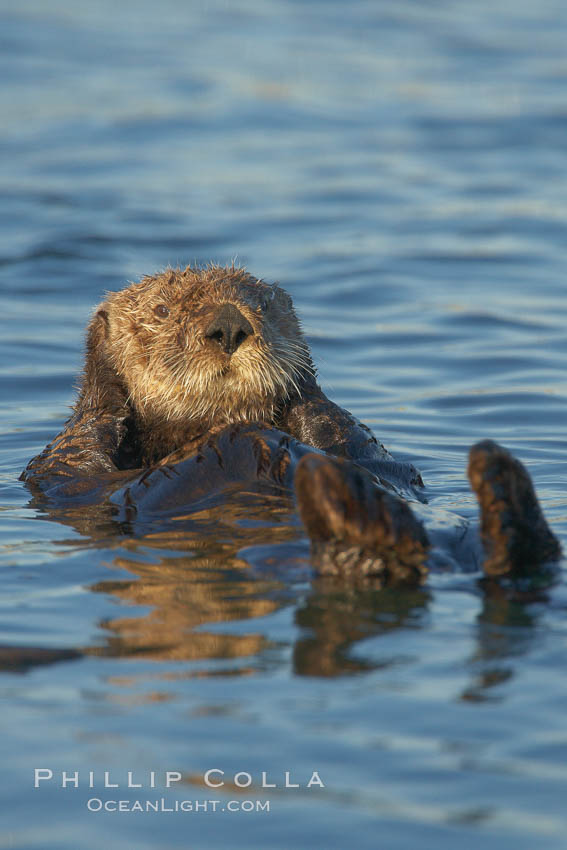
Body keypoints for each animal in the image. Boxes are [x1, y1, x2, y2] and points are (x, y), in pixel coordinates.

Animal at [21, 264, 560, 584]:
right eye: (162, 309)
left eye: (261, 306)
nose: (229, 325)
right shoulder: (59, 471)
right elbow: (83, 452)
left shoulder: (360, 445)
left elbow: (357, 443)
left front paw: (299, 391)